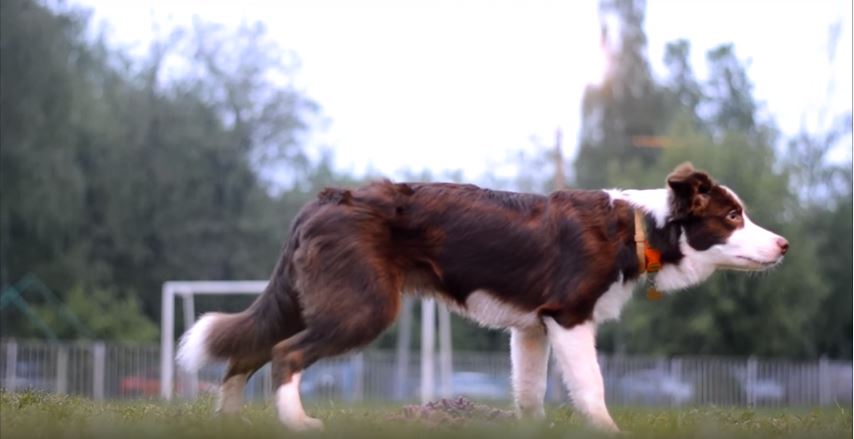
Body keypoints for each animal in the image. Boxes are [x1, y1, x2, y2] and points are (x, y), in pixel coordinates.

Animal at [177, 162, 792, 434]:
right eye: (732, 217)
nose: (784, 244)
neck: (637, 227)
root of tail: (322, 201)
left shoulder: (532, 327)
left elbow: (530, 394)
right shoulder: (568, 317)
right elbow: (591, 387)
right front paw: (609, 431)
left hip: (310, 299)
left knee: (247, 352)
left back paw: (229, 422)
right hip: (362, 307)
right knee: (286, 354)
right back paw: (298, 423)